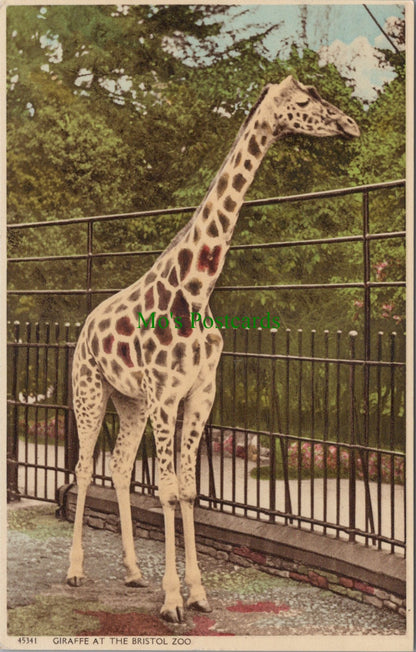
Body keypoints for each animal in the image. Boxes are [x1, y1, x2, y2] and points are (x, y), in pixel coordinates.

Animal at [66, 76, 359, 622]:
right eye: (303, 101)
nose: (349, 124)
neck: (197, 289)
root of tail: (87, 324)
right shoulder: (166, 397)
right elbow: (166, 491)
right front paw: (172, 601)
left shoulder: (200, 393)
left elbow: (189, 490)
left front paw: (197, 593)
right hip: (89, 392)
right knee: (83, 466)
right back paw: (75, 570)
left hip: (130, 402)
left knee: (118, 468)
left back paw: (133, 572)